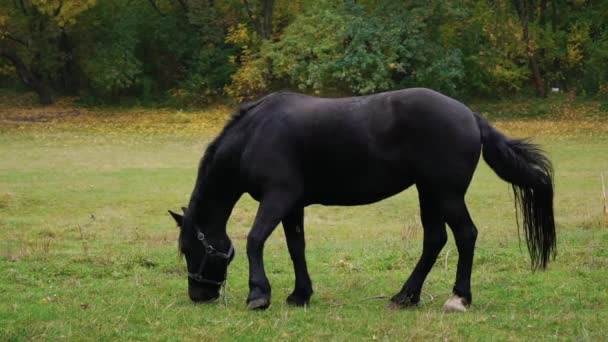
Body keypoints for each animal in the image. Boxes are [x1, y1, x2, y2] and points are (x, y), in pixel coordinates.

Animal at [167, 89, 556, 312]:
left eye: (190, 249)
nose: (198, 295)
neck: (255, 135)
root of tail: (469, 115)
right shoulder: (293, 205)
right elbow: (296, 247)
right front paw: (300, 294)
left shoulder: (279, 196)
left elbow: (255, 240)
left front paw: (258, 295)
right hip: (428, 192)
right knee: (435, 240)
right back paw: (405, 297)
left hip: (445, 193)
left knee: (465, 235)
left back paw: (458, 298)